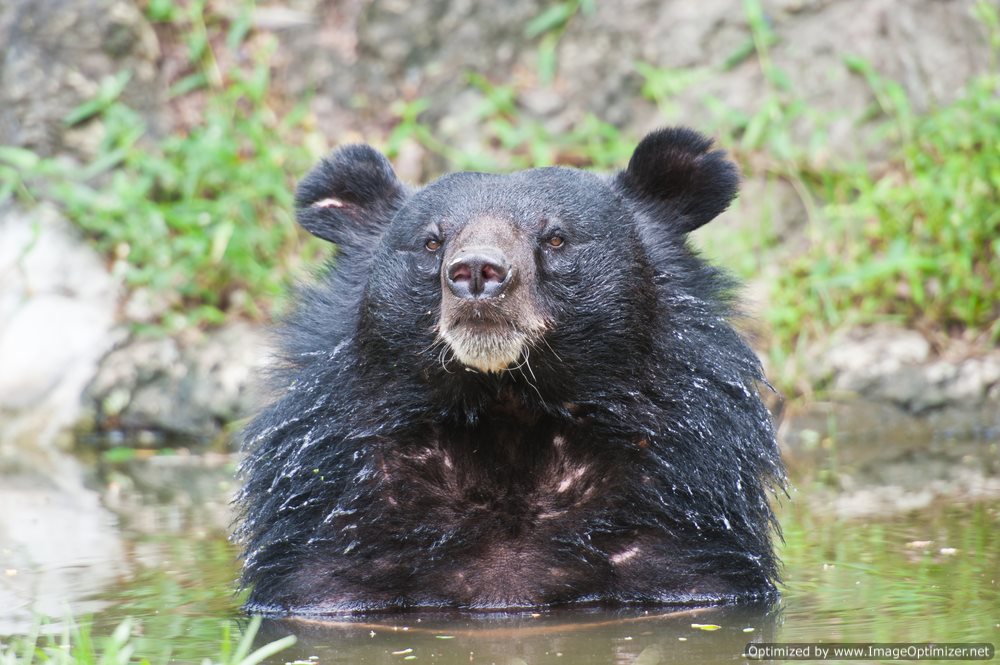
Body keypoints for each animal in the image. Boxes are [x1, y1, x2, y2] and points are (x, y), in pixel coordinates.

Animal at [232, 127, 780, 616]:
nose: (477, 272)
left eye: (556, 238)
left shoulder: (679, 515)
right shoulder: (337, 520)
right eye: (431, 242)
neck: (507, 402)